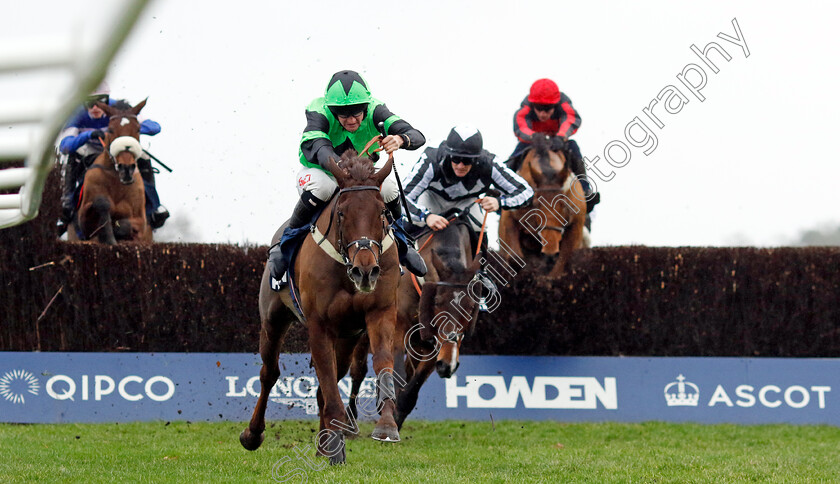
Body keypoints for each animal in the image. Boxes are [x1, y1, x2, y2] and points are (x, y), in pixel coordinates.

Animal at [69, 99, 151, 244]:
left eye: (138, 129)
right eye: (111, 130)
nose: (126, 168)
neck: (116, 180)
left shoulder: (140, 221)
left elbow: (124, 225)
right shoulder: (84, 222)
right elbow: (101, 203)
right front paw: (107, 235)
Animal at [241, 149, 402, 464]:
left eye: (382, 212)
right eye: (341, 213)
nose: (366, 272)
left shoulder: (380, 312)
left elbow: (382, 362)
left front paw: (387, 424)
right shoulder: (318, 325)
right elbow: (327, 383)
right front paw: (337, 450)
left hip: (347, 337)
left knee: (326, 385)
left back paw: (323, 444)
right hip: (273, 320)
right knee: (269, 374)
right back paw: (253, 434)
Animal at [498, 134, 584, 278]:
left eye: (563, 203)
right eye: (536, 203)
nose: (550, 252)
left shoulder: (575, 225)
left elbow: (560, 265)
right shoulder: (509, 218)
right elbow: (514, 257)